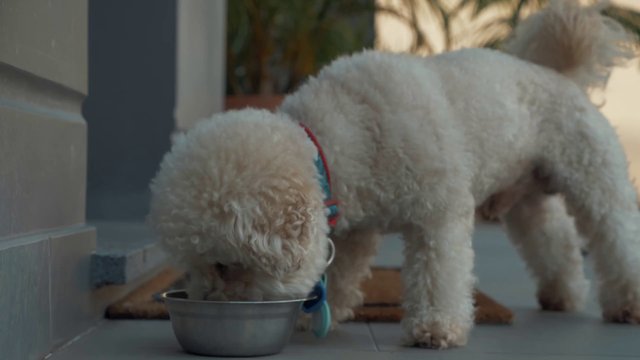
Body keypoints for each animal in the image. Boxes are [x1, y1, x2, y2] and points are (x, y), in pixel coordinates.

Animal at [150, 0, 640, 348]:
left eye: (225, 265)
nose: (207, 303)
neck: (343, 134)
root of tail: (561, 75)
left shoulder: (439, 212)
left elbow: (439, 272)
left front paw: (436, 328)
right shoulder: (351, 227)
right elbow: (341, 270)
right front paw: (323, 316)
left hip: (593, 175)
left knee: (615, 235)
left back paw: (628, 303)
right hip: (525, 201)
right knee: (554, 240)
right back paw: (563, 293)